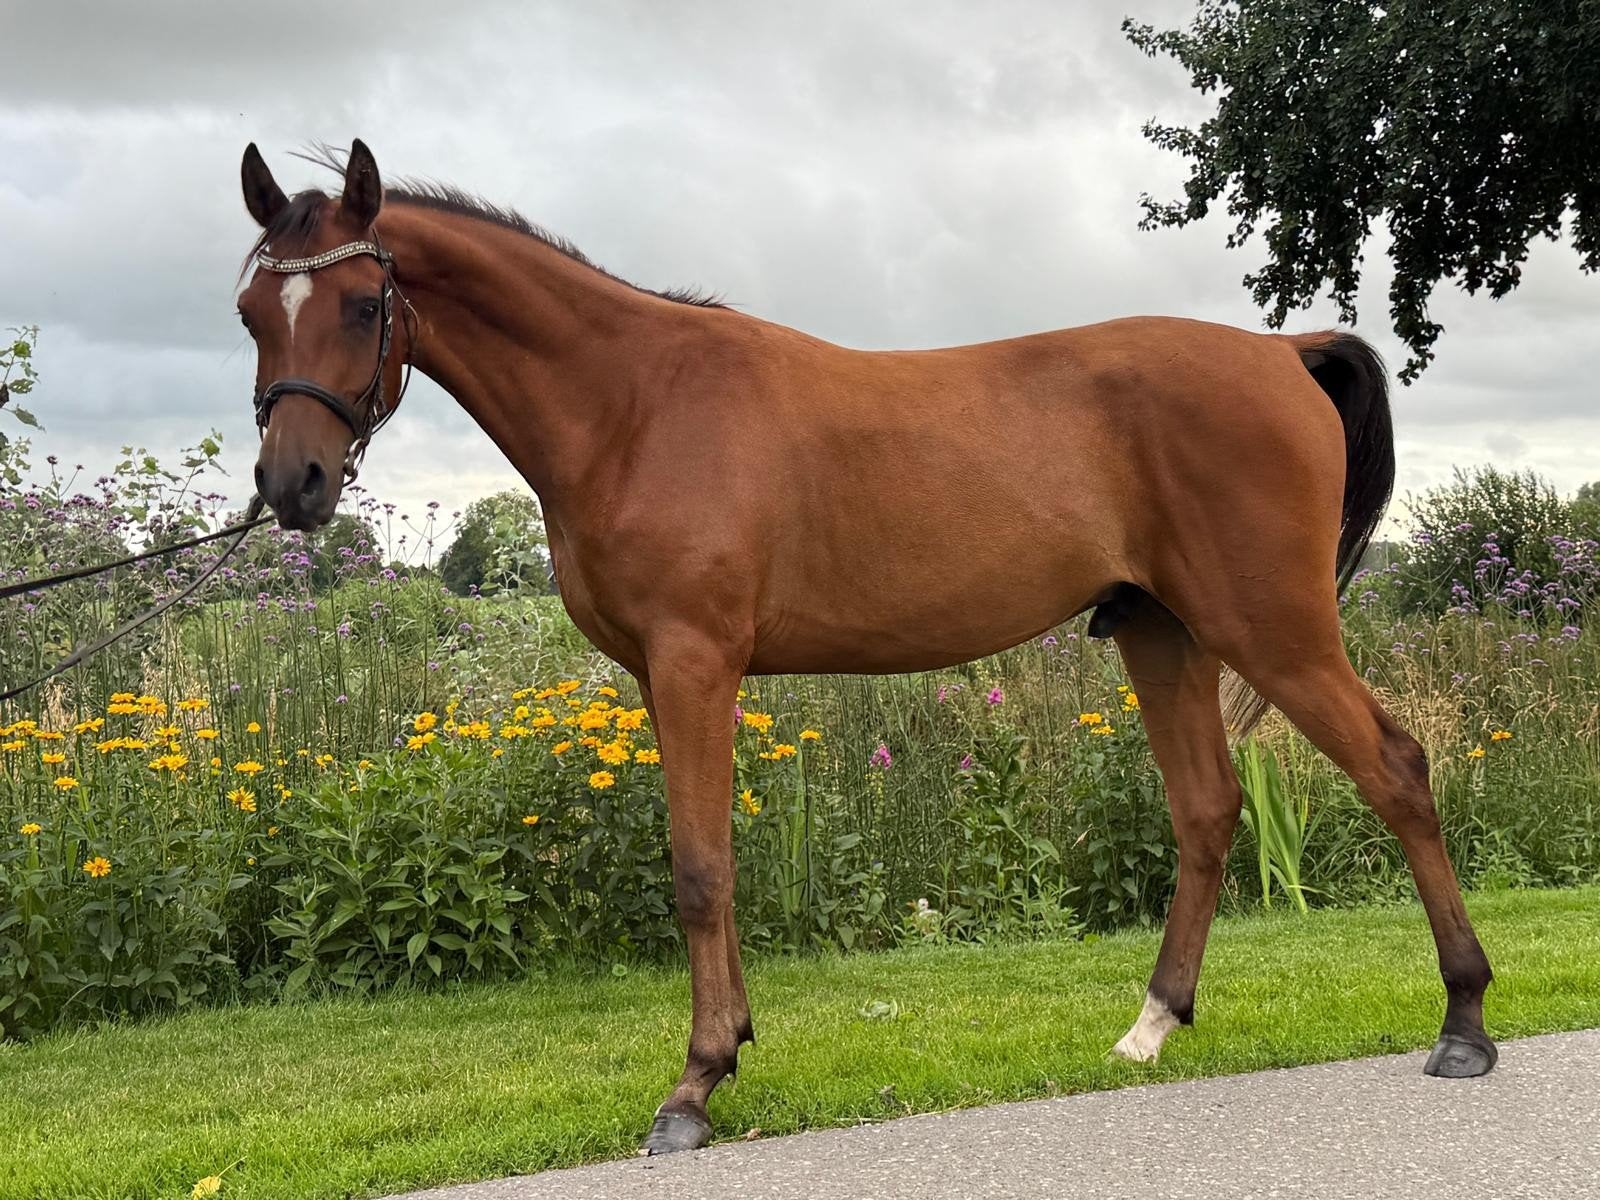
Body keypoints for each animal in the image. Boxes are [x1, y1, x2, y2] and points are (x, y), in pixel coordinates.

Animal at [237, 140, 1498, 1155]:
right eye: (252, 310)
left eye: (362, 304)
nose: (293, 486)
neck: (636, 401)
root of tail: (1284, 354)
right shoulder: (661, 677)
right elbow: (711, 863)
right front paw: (729, 1047)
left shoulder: (694, 663)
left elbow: (700, 870)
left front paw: (693, 1088)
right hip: (1164, 635)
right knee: (1206, 809)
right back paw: (1150, 1027)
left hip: (1273, 629)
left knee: (1394, 769)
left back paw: (1464, 1022)